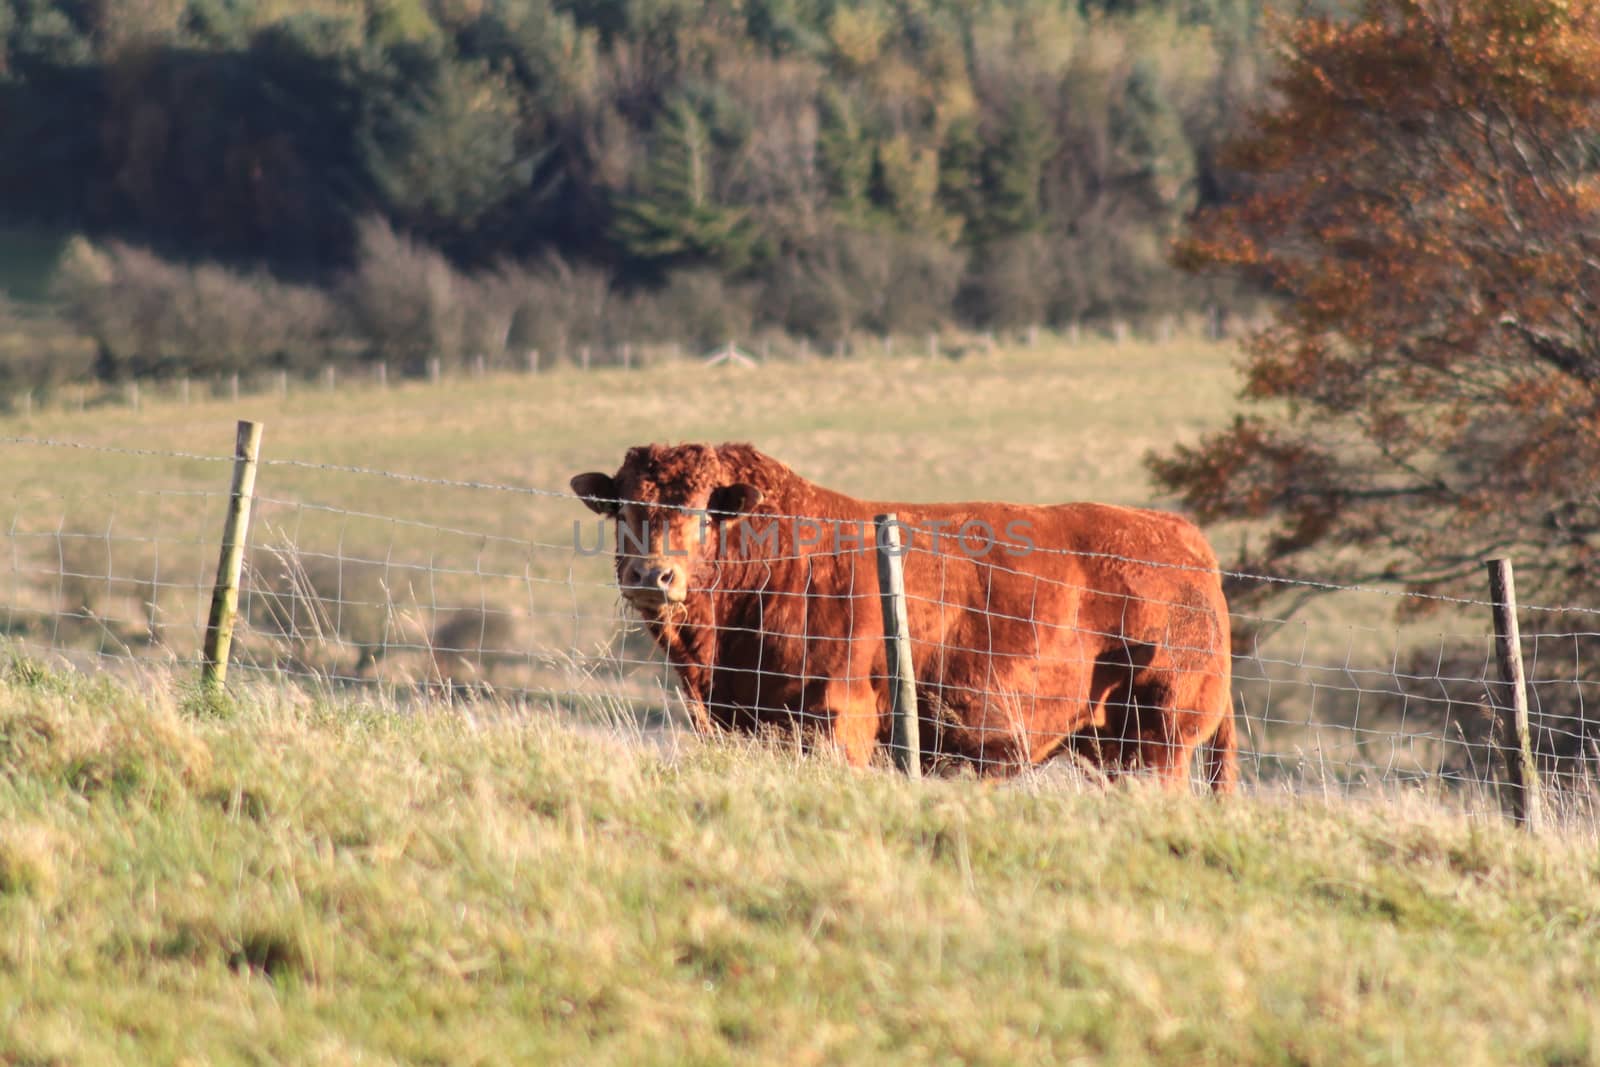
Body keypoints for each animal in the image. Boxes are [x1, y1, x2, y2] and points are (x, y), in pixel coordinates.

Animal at [576, 441, 1235, 793]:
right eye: (624, 508)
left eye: (700, 512)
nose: (652, 576)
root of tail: (1182, 536)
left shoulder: (840, 718)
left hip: (1163, 734)